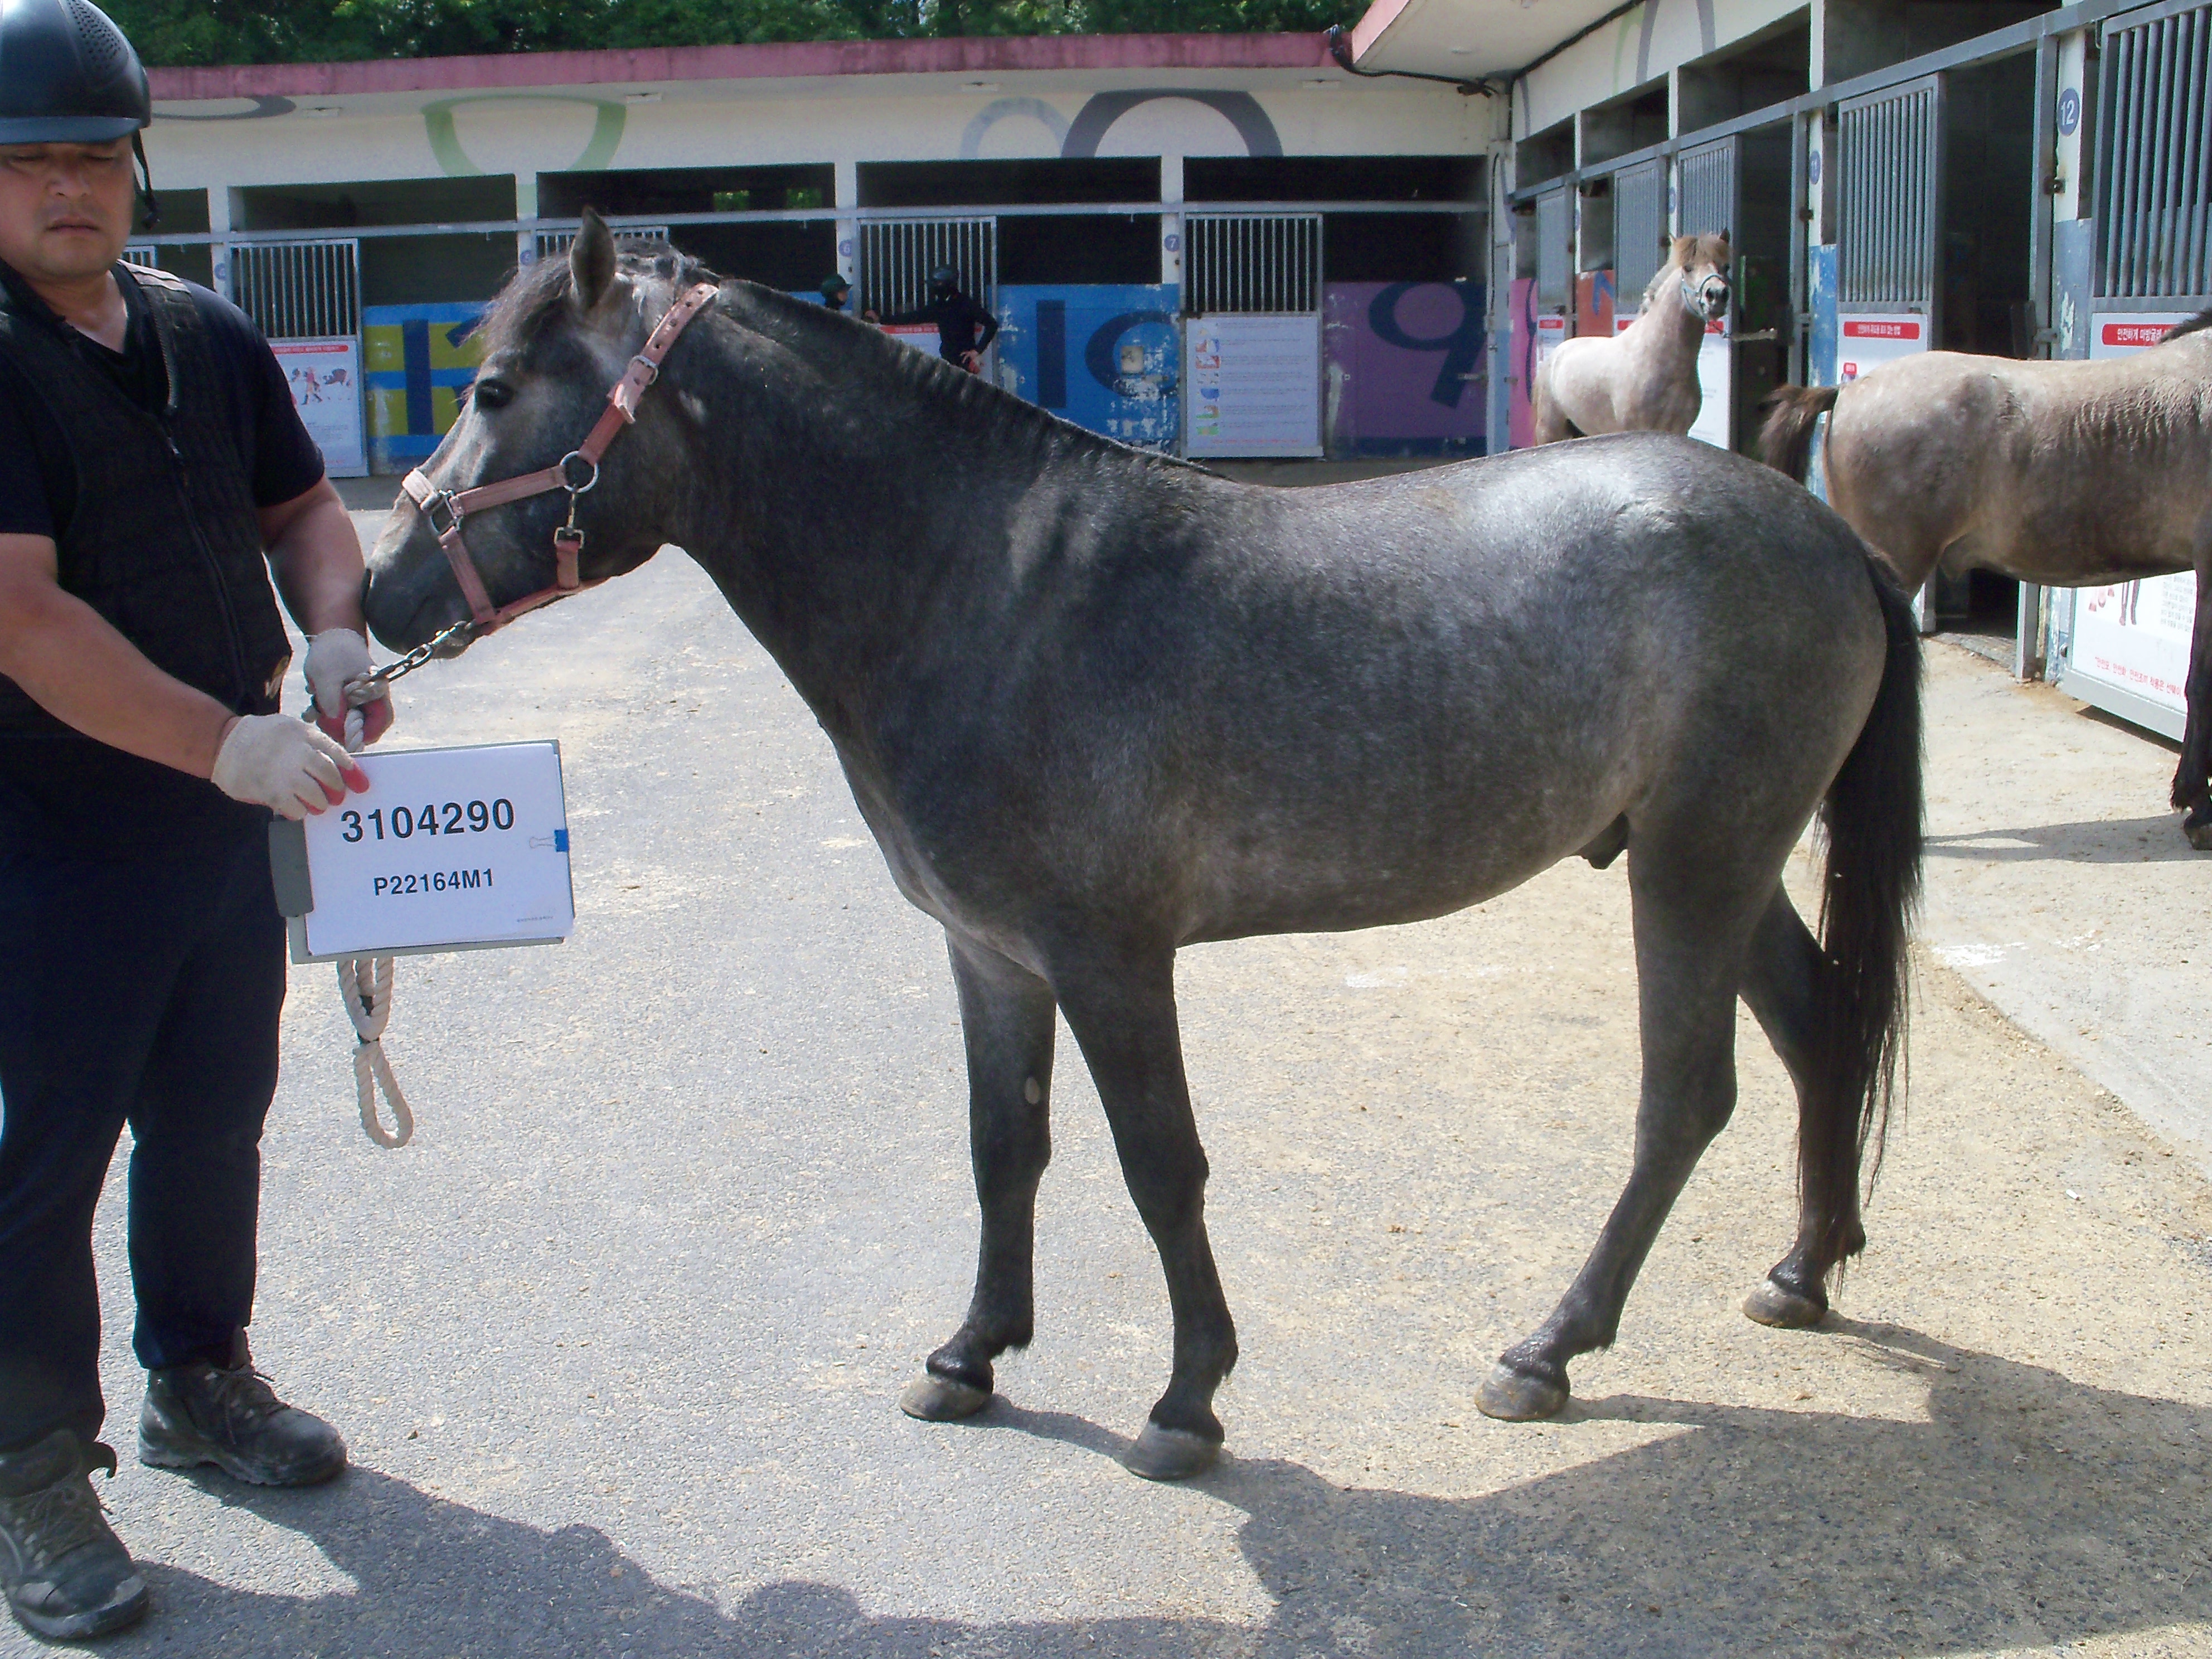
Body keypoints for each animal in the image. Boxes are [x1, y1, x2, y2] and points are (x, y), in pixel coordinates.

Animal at [1539, 234, 1725, 444]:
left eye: (1726, 266)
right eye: (1688, 267)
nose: (1717, 296)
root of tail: (1555, 355)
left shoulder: (1679, 430)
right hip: (1549, 432)